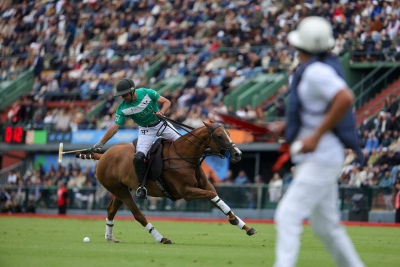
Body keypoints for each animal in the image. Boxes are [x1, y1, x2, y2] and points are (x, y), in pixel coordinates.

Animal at [77, 121, 258, 245]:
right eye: (219, 136)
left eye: (229, 133)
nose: (238, 154)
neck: (185, 156)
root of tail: (104, 155)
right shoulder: (186, 192)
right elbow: (212, 195)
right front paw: (236, 221)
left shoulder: (205, 185)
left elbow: (218, 200)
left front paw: (244, 226)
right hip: (121, 191)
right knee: (138, 215)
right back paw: (161, 238)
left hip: (122, 189)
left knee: (111, 209)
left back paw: (110, 237)